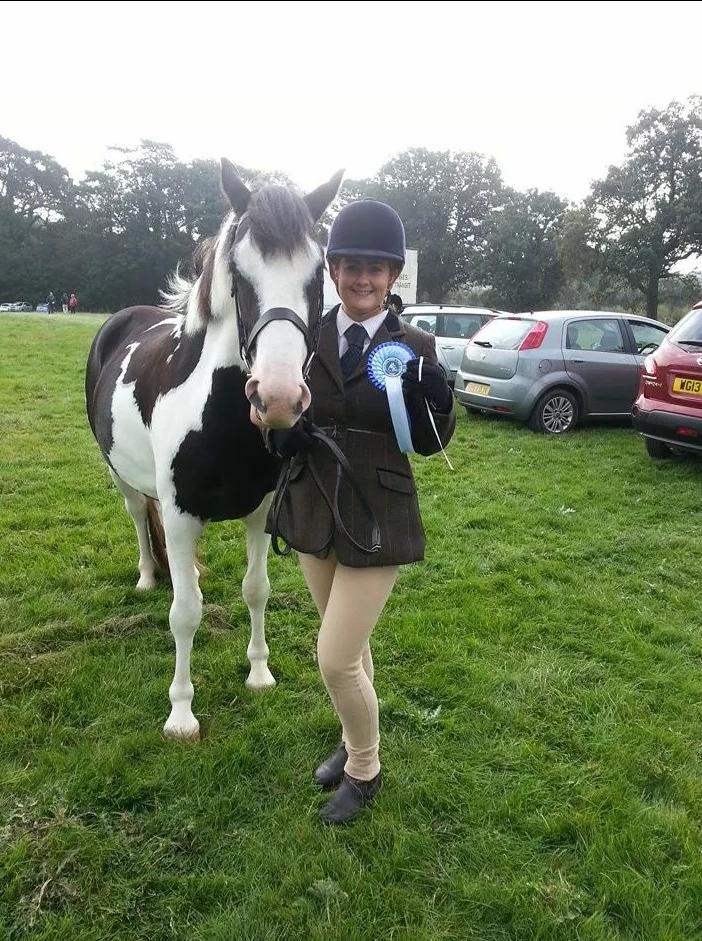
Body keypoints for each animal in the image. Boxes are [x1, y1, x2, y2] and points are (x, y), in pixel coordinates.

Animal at [85, 159, 343, 740]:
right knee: (138, 516)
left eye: (318, 275)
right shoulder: (181, 517)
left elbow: (256, 589)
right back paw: (146, 574)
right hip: (121, 477)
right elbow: (184, 613)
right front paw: (181, 713)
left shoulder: (261, 514)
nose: (277, 398)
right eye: (239, 278)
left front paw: (259, 673)